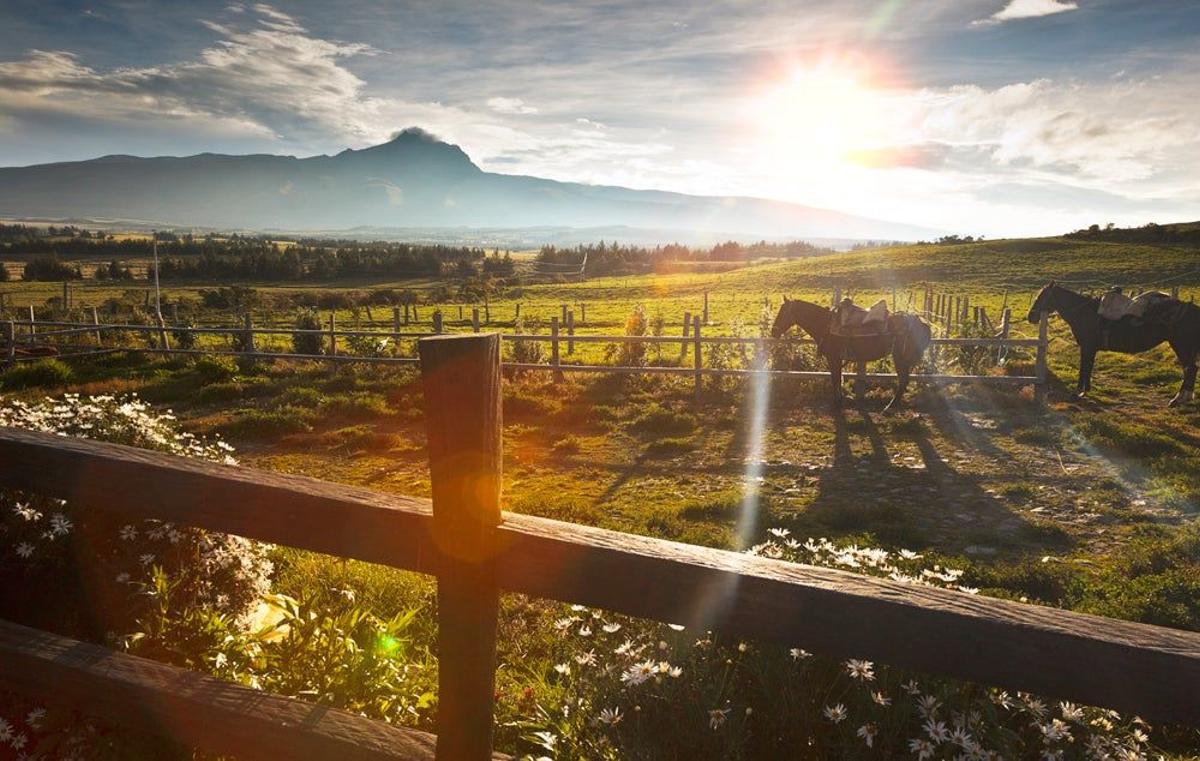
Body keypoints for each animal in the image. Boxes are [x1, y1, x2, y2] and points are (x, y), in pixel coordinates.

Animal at [772, 295, 931, 408]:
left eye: (783, 312)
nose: (774, 331)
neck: (826, 324)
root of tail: (921, 322)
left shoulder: (833, 358)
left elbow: (835, 378)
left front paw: (837, 403)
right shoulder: (836, 359)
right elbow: (837, 377)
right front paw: (840, 399)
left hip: (900, 357)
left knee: (903, 380)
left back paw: (890, 406)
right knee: (904, 380)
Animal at [1022, 282, 1200, 405]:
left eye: (1042, 296)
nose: (1031, 316)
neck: (1085, 313)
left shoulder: (1087, 347)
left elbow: (1084, 367)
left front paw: (1077, 392)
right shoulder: (1091, 348)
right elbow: (1089, 367)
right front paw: (1085, 391)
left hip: (1181, 345)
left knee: (1190, 369)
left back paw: (1178, 399)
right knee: (1191, 369)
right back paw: (1184, 398)